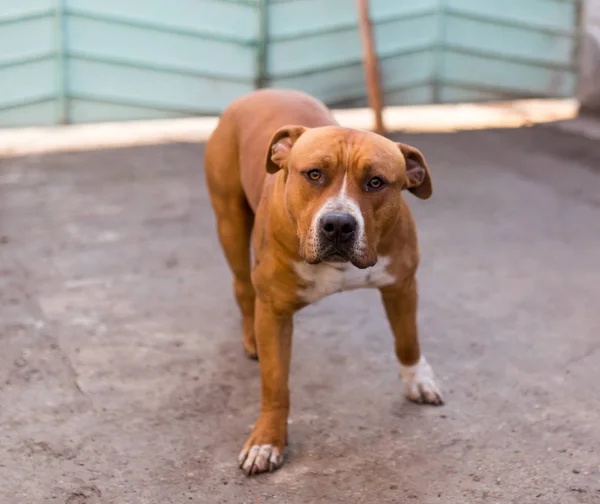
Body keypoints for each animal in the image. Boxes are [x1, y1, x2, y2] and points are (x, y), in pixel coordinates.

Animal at [204, 87, 442, 476]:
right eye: (313, 174)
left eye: (376, 182)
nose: (338, 224)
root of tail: (260, 92)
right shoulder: (273, 311)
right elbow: (275, 385)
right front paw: (267, 441)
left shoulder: (401, 284)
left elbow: (408, 340)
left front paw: (419, 380)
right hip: (229, 221)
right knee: (241, 286)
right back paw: (251, 339)